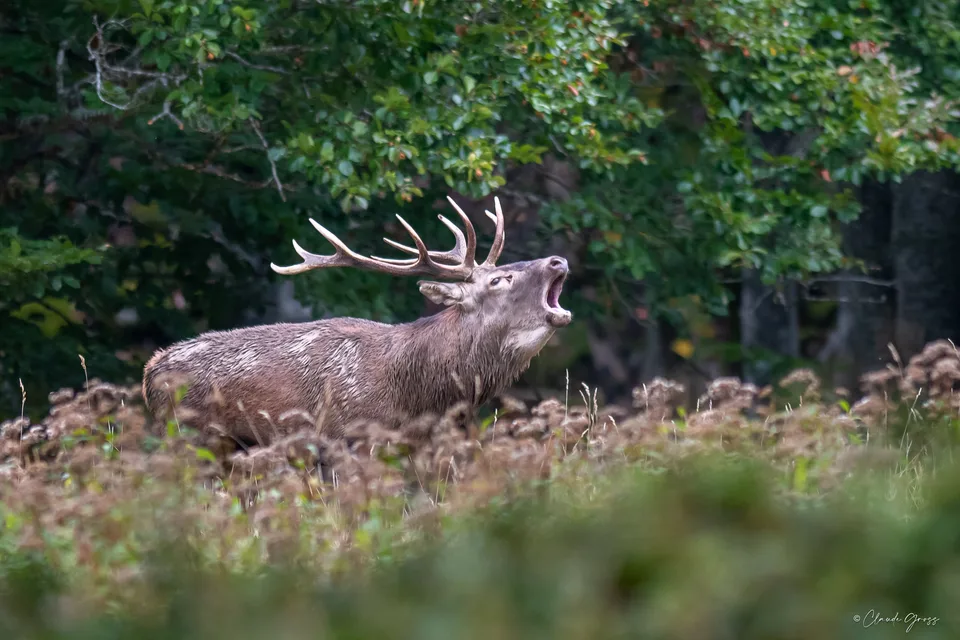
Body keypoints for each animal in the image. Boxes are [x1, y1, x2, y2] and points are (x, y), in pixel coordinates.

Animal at [142, 195, 572, 448]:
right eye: (499, 279)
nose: (558, 260)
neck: (421, 395)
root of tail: (149, 373)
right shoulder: (346, 438)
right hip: (192, 435)